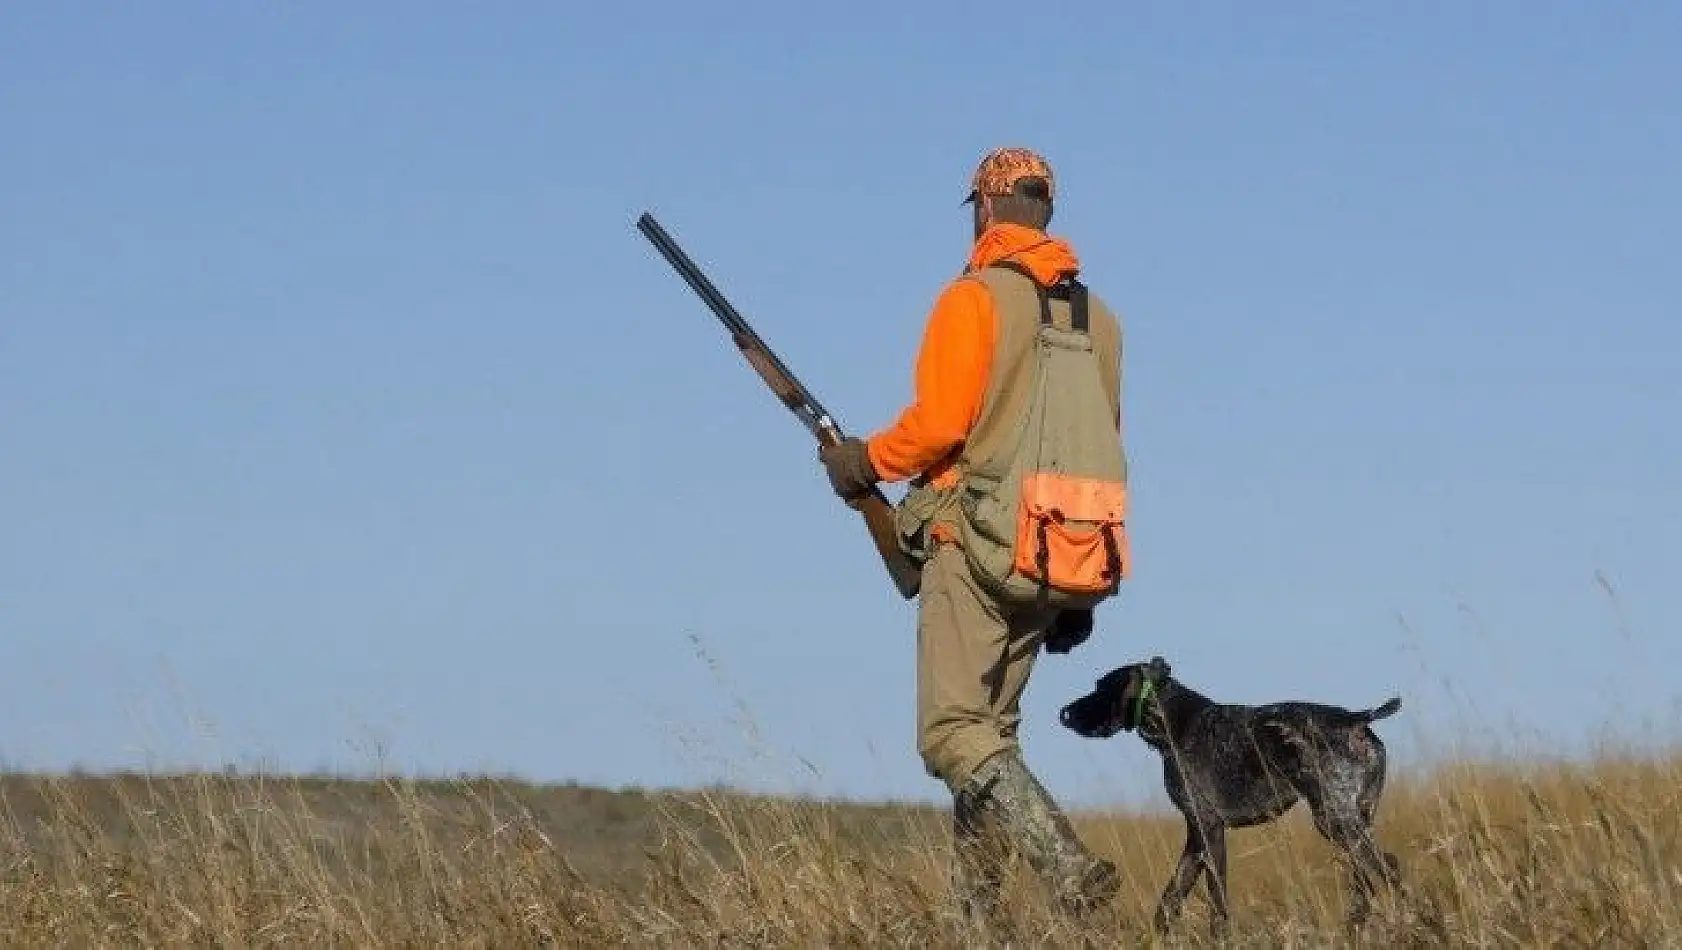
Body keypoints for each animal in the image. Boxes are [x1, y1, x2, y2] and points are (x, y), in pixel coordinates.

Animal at [1063, 655, 1406, 928]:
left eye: (1100, 688)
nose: (1064, 713)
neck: (1177, 724)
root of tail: (1356, 719)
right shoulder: (1196, 837)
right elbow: (1168, 903)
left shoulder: (1210, 830)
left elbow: (1218, 905)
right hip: (1353, 820)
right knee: (1369, 877)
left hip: (1335, 820)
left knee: (1387, 869)